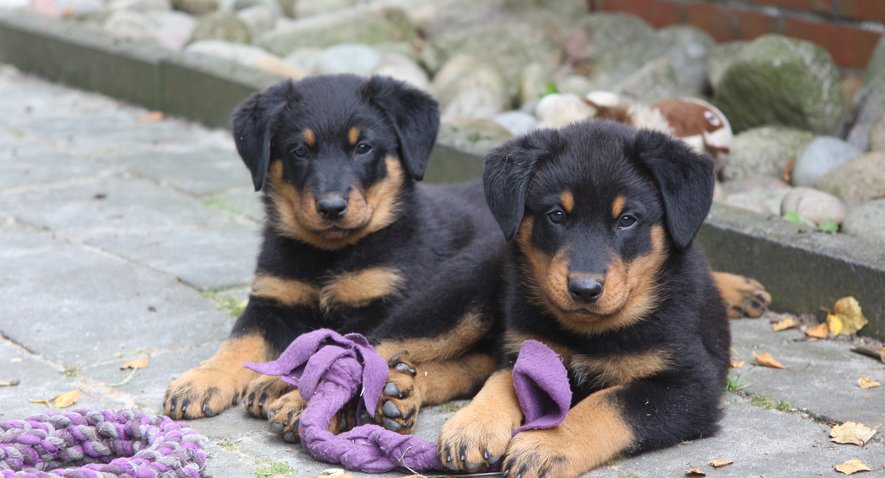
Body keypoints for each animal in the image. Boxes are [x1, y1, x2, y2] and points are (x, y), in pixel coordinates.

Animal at [162, 74, 504, 441]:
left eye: (363, 147)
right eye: (300, 150)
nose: (331, 207)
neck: (331, 254)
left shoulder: (379, 307)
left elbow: (335, 352)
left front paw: (291, 395)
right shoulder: (271, 301)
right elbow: (239, 343)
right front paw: (201, 380)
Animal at [438, 120, 767, 477]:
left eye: (627, 220)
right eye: (556, 215)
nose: (584, 288)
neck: (589, 333)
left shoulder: (691, 384)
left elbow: (608, 403)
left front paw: (547, 445)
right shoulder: (524, 346)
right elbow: (501, 380)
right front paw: (473, 425)